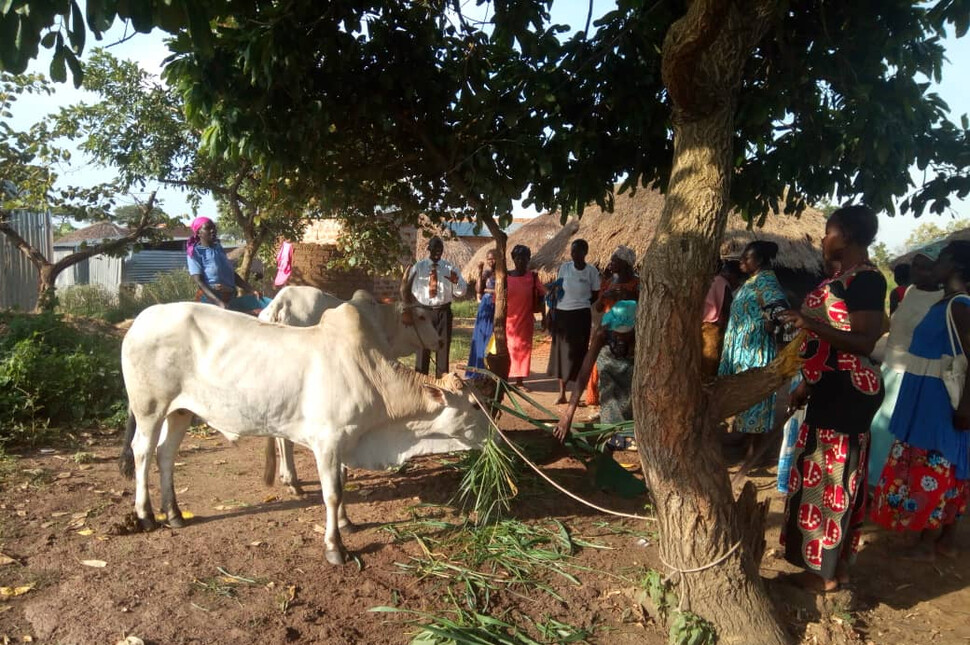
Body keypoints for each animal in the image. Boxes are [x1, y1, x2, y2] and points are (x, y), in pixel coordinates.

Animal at [117, 302, 488, 564]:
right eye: (474, 405)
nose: (496, 435)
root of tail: (140, 320)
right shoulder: (327, 442)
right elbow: (332, 493)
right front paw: (335, 547)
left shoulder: (345, 443)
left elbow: (343, 484)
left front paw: (347, 523)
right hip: (150, 408)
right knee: (143, 451)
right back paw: (146, 515)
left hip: (181, 411)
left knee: (165, 454)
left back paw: (174, 514)